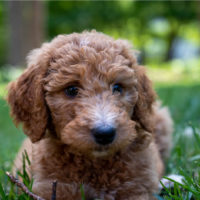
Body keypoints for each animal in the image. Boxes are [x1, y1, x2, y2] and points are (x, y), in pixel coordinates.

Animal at [7, 31, 173, 200]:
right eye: (71, 90)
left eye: (117, 87)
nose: (105, 133)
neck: (95, 163)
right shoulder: (52, 188)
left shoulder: (137, 187)